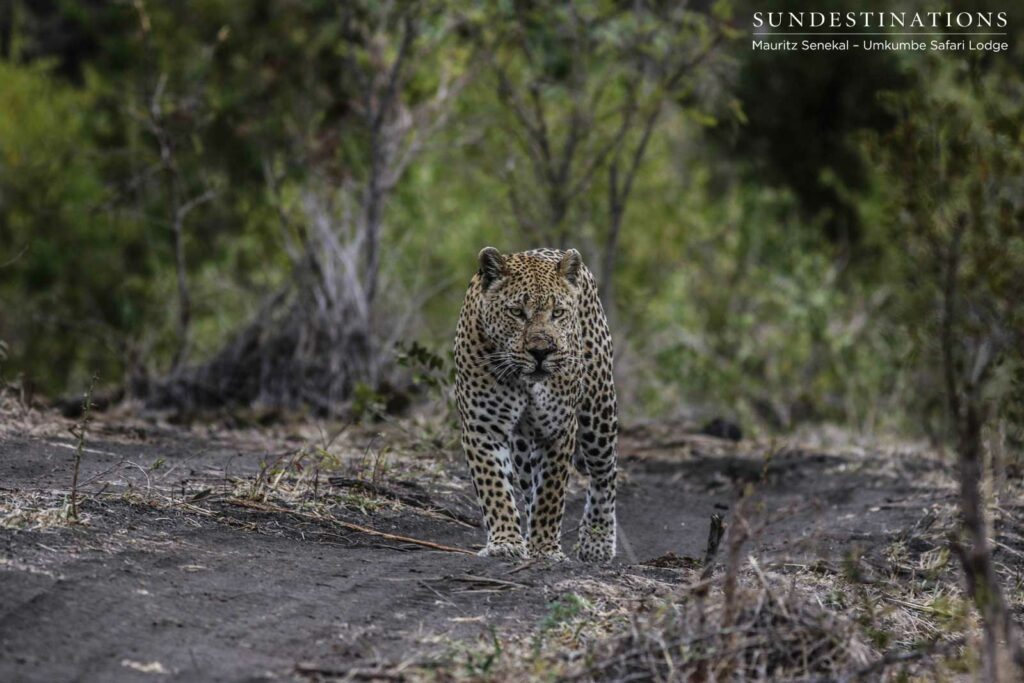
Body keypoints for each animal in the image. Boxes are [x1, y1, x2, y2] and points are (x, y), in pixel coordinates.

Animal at [454, 246, 617, 562]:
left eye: (558, 313)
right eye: (517, 312)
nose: (541, 352)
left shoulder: (559, 429)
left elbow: (550, 494)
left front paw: (545, 548)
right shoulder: (483, 428)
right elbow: (495, 487)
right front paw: (506, 541)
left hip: (599, 411)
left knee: (605, 474)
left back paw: (598, 541)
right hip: (522, 446)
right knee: (529, 486)